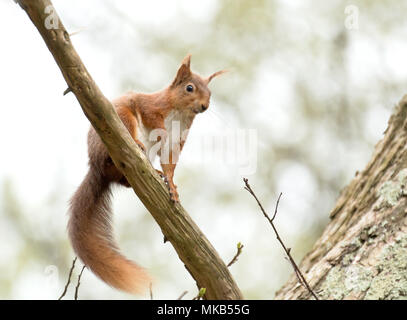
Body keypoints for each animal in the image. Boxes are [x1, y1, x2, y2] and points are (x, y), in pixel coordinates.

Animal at [67, 54, 226, 296]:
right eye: (189, 88)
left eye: (210, 93)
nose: (204, 106)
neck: (180, 112)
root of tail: (96, 169)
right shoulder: (150, 105)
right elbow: (151, 116)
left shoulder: (176, 142)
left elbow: (170, 165)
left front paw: (172, 186)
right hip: (122, 119)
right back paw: (136, 145)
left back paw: (154, 173)